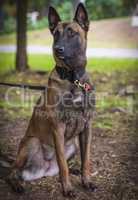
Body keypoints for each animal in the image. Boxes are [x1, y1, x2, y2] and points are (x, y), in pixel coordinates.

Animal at [7, 2, 96, 197]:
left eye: (72, 33)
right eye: (56, 34)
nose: (58, 49)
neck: (73, 78)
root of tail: (45, 169)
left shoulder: (87, 127)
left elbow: (86, 159)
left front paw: (86, 180)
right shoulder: (58, 128)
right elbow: (63, 165)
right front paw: (68, 188)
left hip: (73, 146)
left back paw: (74, 170)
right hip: (31, 142)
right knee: (13, 172)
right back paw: (17, 185)